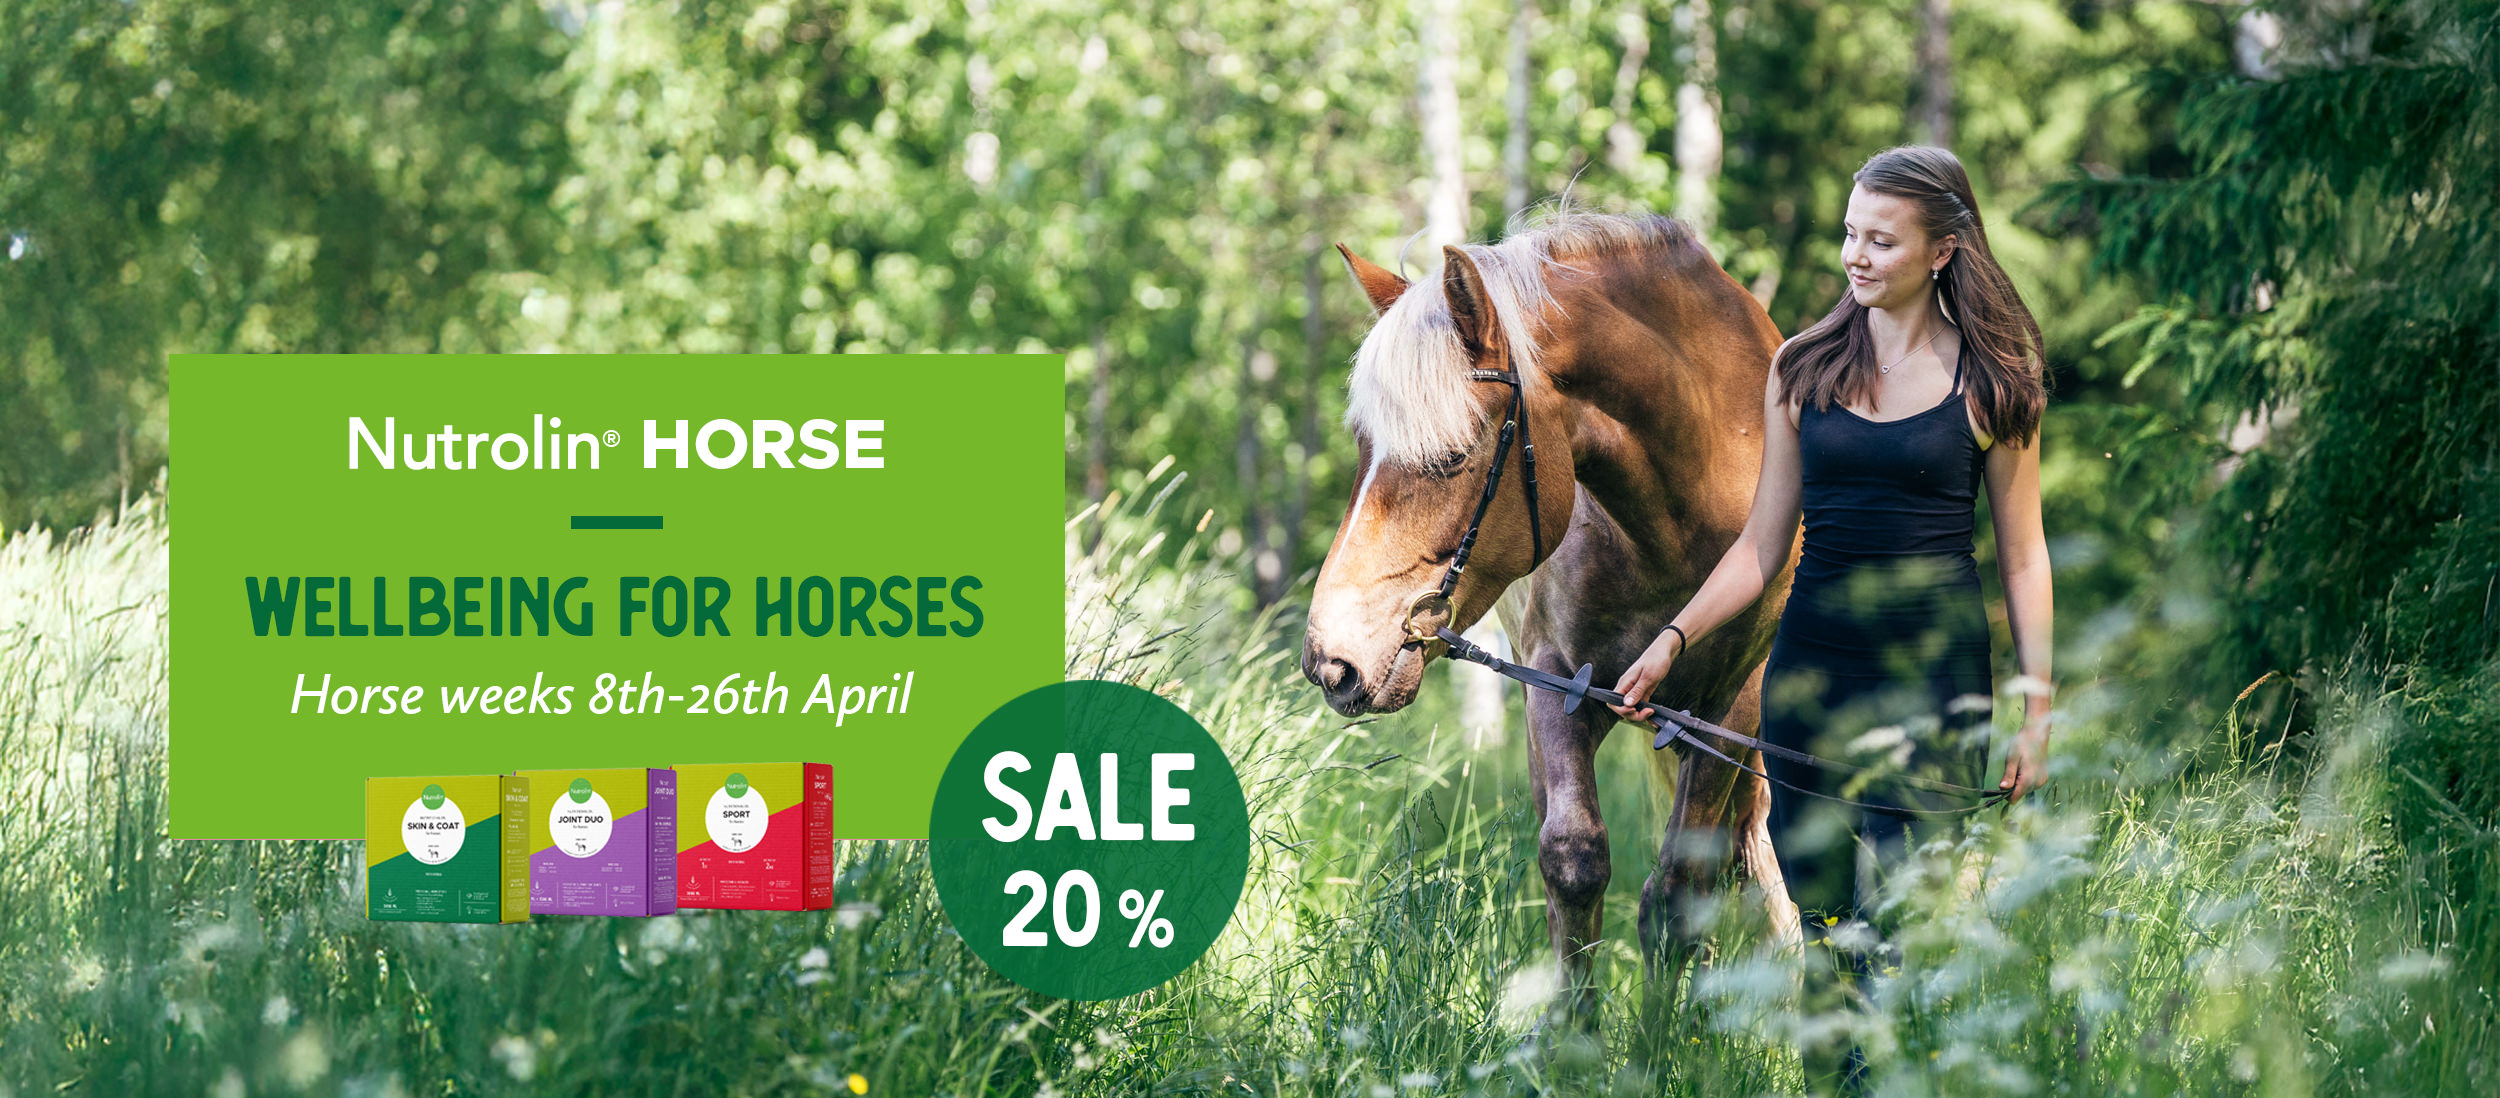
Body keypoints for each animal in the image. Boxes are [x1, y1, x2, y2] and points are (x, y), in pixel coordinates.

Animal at [1300, 211, 1804, 1009]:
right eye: (1362, 447)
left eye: (1451, 458)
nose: (1332, 659)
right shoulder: (1559, 679)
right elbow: (1574, 860)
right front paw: (1573, 1031)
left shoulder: (1731, 701)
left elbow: (1678, 891)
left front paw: (1662, 1038)